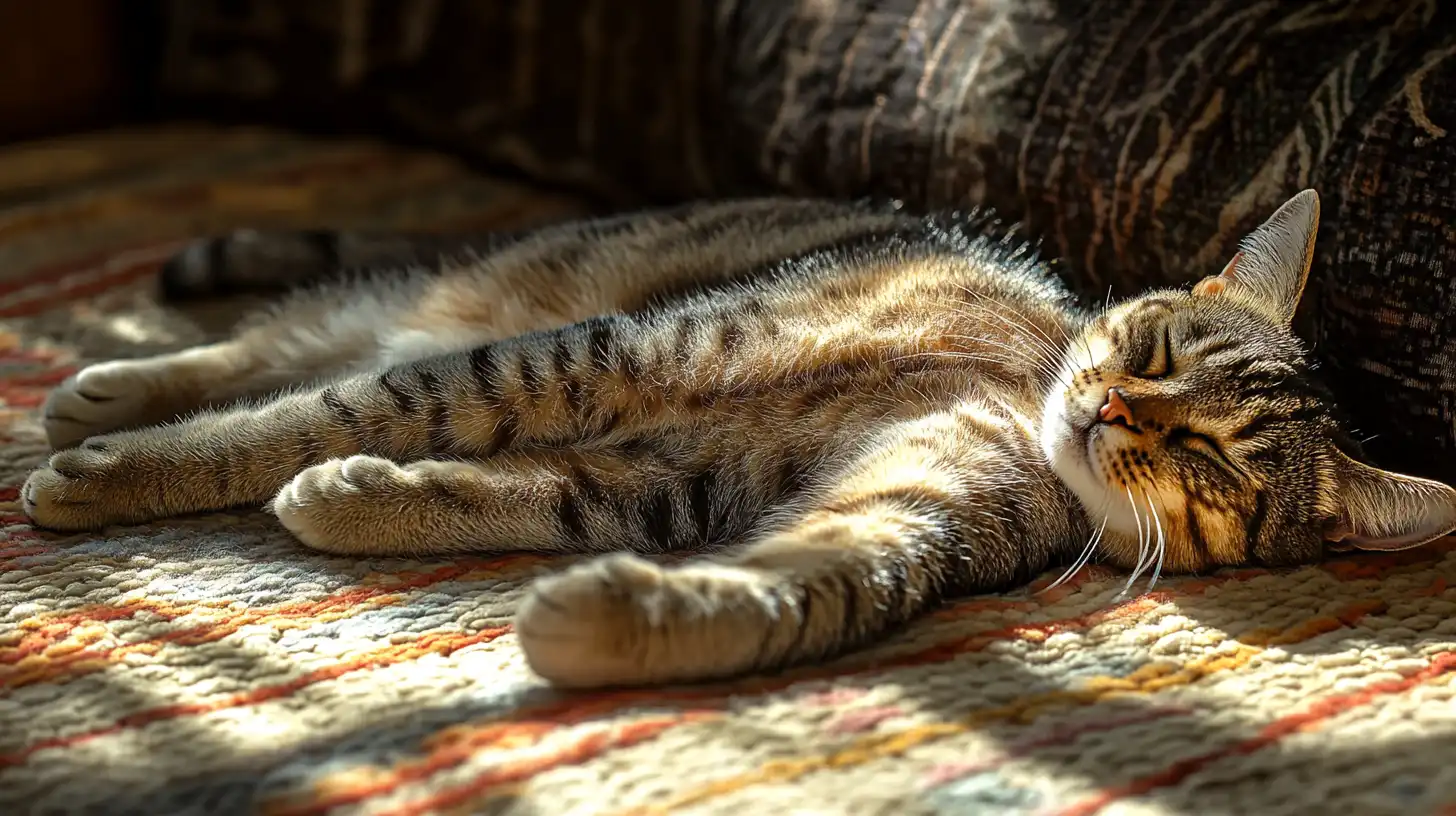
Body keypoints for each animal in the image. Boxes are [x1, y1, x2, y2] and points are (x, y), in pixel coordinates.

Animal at [19, 189, 1456, 687]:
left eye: (1209, 457)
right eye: (1151, 355)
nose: (1106, 409)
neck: (1009, 385)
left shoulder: (716, 488)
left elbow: (793, 584)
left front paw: (608, 627)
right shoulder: (622, 356)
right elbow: (335, 413)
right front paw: (113, 483)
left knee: (342, 337)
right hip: (539, 291)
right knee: (312, 339)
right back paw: (100, 402)